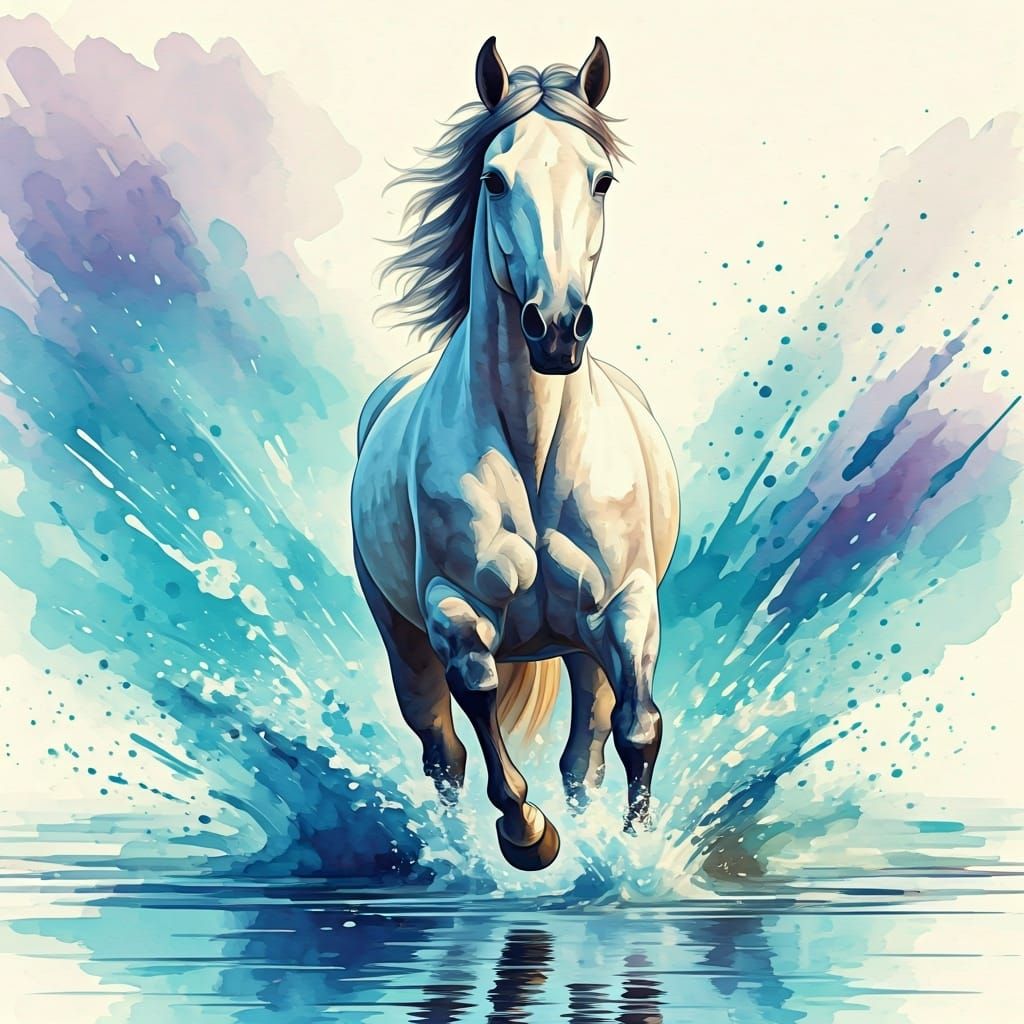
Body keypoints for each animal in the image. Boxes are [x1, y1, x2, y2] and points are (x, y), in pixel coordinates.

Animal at [351, 37, 679, 871]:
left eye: (601, 179)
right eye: (494, 179)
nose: (557, 328)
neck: (533, 451)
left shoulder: (626, 607)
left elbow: (637, 729)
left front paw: (634, 857)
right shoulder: (453, 607)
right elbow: (478, 699)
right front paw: (527, 835)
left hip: (583, 647)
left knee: (583, 752)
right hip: (400, 634)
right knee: (441, 748)